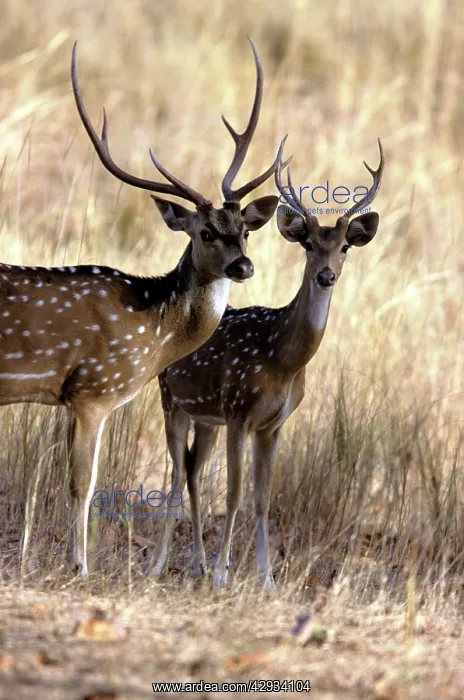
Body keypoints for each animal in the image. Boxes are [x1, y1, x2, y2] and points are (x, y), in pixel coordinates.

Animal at [0, 39, 285, 578]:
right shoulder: (94, 389)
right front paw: (81, 566)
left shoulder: (71, 397)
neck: (153, 329)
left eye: (246, 229)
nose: (244, 266)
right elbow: (83, 483)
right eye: (205, 232)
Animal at [154, 141, 385, 589]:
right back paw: (159, 565)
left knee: (191, 471)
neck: (283, 361)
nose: (326, 275)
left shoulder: (273, 423)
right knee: (175, 472)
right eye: (307, 244)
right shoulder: (239, 411)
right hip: (171, 399)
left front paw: (265, 578)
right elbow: (234, 493)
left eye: (345, 246)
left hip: (206, 416)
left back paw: (197, 563)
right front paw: (224, 575)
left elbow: (262, 498)